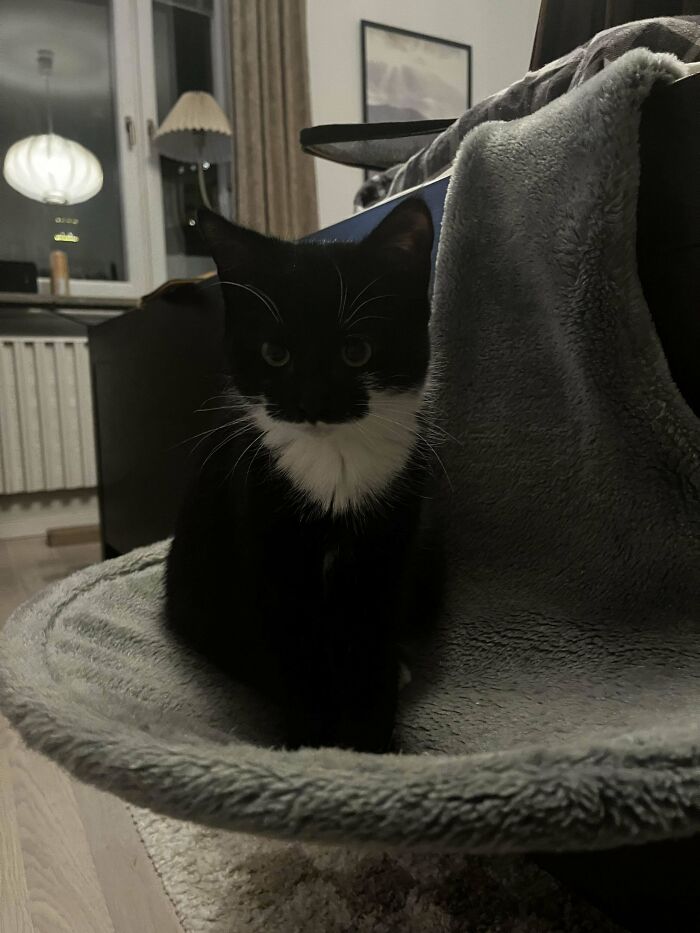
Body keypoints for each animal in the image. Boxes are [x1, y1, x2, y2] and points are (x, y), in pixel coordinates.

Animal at [166, 198, 434, 748]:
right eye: (275, 354)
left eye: (356, 351)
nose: (311, 403)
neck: (336, 463)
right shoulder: (266, 537)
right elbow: (297, 658)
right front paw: (312, 745)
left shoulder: (389, 545)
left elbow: (370, 643)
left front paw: (371, 744)